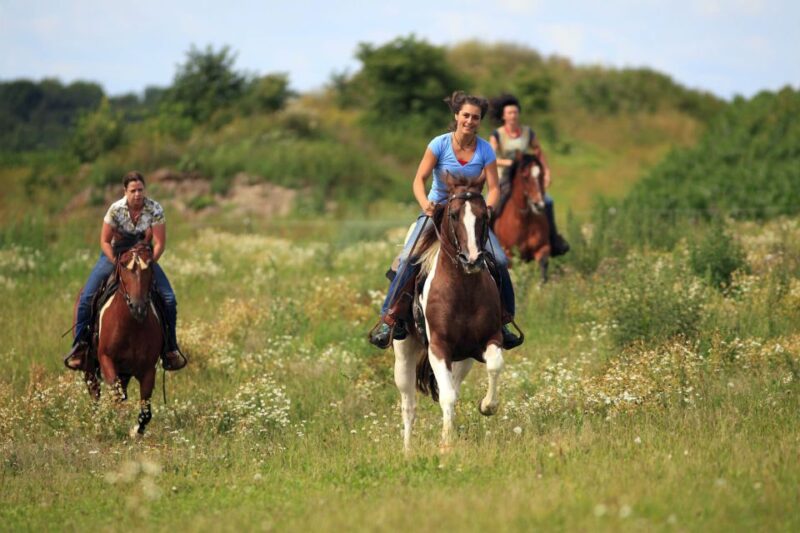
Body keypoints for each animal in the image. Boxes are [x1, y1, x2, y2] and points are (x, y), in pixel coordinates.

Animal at [78, 242, 163, 436]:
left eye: (150, 265)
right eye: (123, 265)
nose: (138, 307)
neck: (131, 326)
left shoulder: (148, 369)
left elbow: (145, 411)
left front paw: (135, 432)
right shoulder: (106, 359)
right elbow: (117, 398)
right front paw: (115, 425)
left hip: (125, 372)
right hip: (89, 367)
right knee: (95, 394)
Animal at [393, 173, 505, 452]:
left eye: (484, 216)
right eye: (453, 215)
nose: (472, 260)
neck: (462, 291)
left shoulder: (490, 339)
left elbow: (494, 365)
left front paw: (487, 406)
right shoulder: (438, 347)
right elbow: (447, 396)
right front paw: (446, 444)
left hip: (463, 359)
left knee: (454, 385)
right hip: (404, 356)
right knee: (409, 405)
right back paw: (407, 450)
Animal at [493, 152, 551, 282]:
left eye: (541, 174)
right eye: (525, 176)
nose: (539, 205)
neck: (524, 221)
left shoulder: (542, 248)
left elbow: (543, 266)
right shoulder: (509, 255)